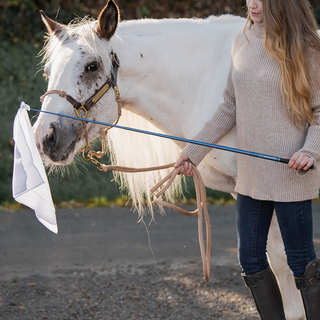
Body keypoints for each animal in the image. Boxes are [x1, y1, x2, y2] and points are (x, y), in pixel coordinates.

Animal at [32, 1, 304, 318]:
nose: (45, 138)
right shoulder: (247, 192)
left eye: (92, 66)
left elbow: (284, 261)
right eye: (48, 70)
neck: (208, 81)